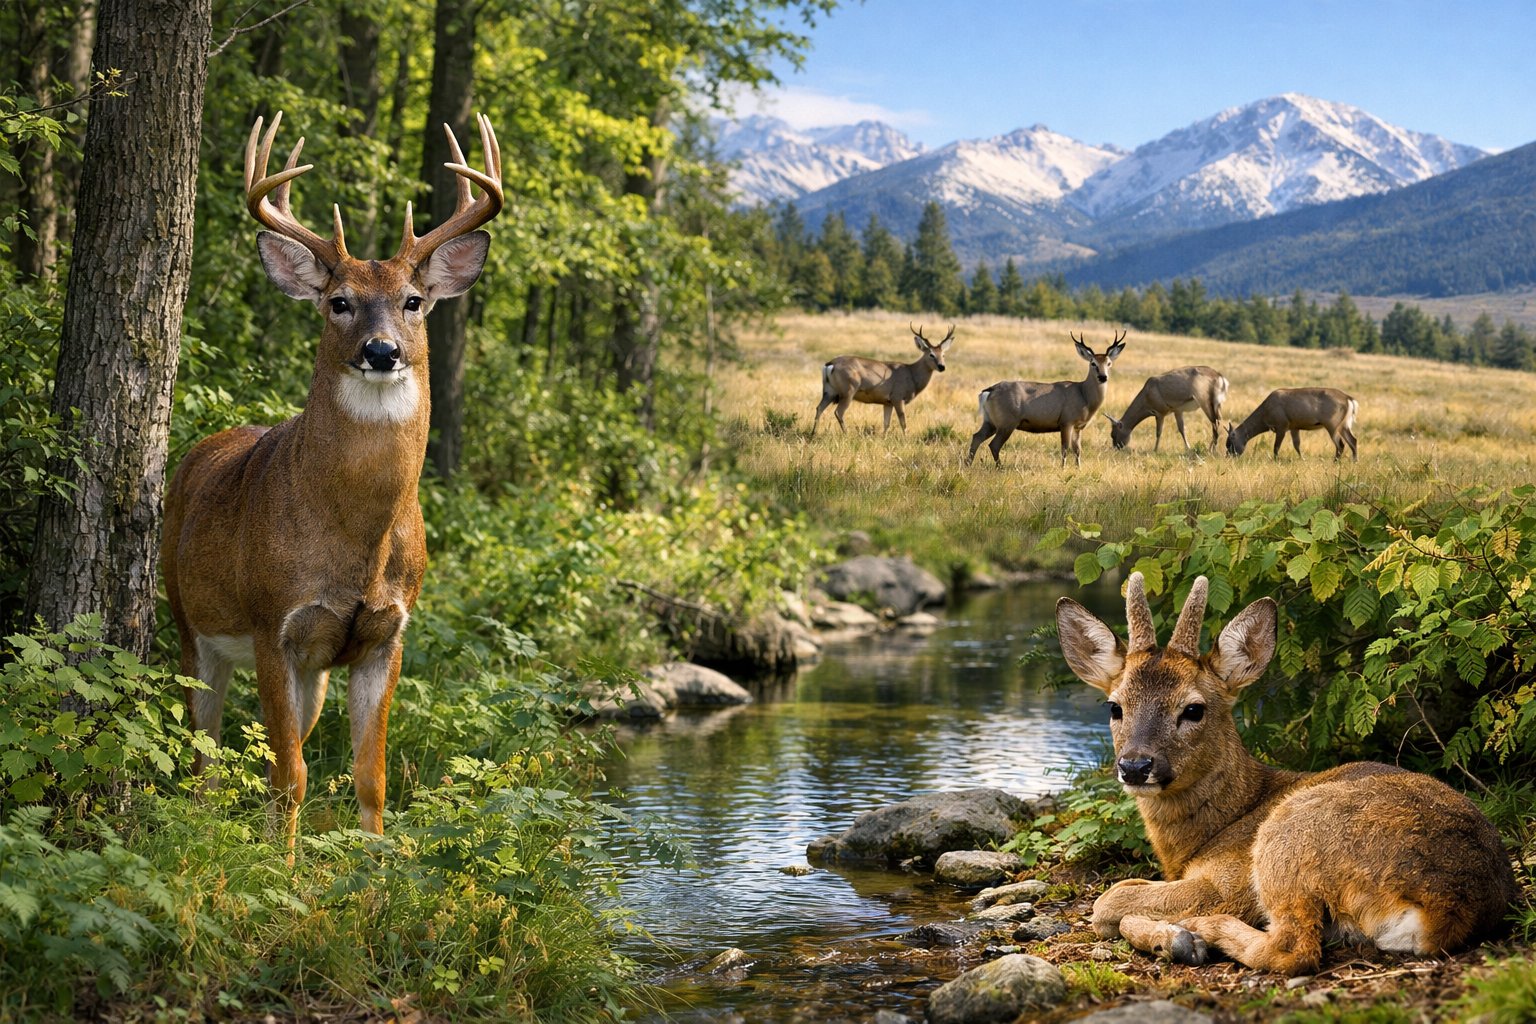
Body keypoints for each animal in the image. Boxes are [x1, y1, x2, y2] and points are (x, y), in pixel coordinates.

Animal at [161, 111, 503, 853]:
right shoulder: (273, 624)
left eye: (413, 301)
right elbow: (291, 777)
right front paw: (282, 874)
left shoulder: (387, 635)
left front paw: (377, 875)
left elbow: (370, 779)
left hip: (311, 671)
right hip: (190, 624)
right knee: (205, 753)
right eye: (339, 302)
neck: (356, 542)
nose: (382, 350)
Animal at [811, 323, 954, 435]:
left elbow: (886, 423)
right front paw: (905, 439)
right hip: (848, 390)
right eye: (931, 354)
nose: (942, 367)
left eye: (943, 355)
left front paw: (884, 438)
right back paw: (846, 434)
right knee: (838, 412)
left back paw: (813, 434)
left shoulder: (887, 402)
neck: (912, 375)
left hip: (829, 391)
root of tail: (830, 364)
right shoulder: (898, 397)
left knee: (819, 408)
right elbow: (903, 422)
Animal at [965, 330, 1126, 467]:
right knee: (994, 444)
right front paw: (1063, 468)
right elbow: (1065, 448)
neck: (1084, 396)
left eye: (1109, 363)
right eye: (1093, 363)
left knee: (976, 437)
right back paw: (1000, 467)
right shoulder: (1066, 421)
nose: (1103, 377)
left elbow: (1078, 450)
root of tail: (989, 391)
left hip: (991, 421)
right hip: (1007, 422)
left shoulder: (1078, 426)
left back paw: (968, 464)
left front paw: (1078, 469)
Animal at [1055, 572, 1516, 975]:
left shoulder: (1228, 884)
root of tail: (1447, 909)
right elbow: (1121, 891)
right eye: (1115, 706)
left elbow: (1106, 903)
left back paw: (1201, 932)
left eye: (1193, 709)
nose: (1135, 765)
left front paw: (1178, 938)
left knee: (1294, 948)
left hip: (1288, 837)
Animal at [1224, 387, 1358, 461]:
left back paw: (1335, 461)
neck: (1266, 413)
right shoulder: (1294, 427)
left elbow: (1276, 447)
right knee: (1353, 440)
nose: (1228, 457)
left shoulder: (1282, 425)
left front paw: (1276, 460)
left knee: (1340, 444)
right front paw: (1303, 459)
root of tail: (1349, 399)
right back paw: (1354, 461)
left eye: (1230, 443)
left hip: (1332, 424)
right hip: (1344, 425)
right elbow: (1296, 445)